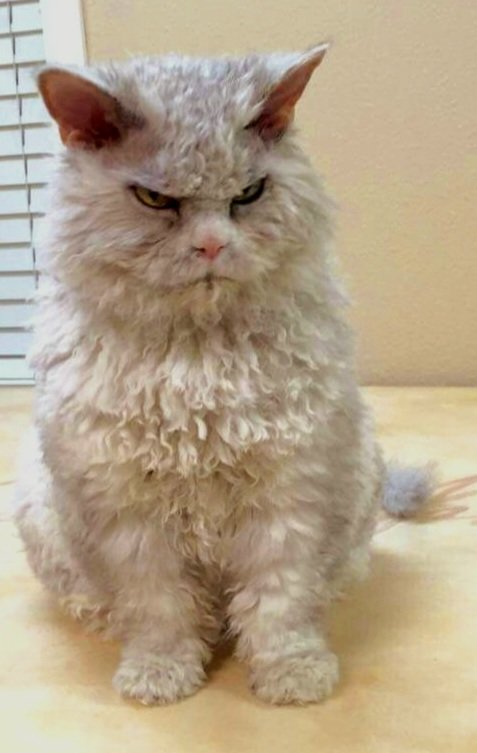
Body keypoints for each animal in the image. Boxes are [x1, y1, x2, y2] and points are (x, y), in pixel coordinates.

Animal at [14, 44, 433, 706]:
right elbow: (158, 610)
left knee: (334, 576)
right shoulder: (129, 518)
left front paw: (292, 675)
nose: (211, 246)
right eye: (155, 199)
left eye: (249, 193)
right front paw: (160, 675)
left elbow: (279, 605)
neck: (199, 355)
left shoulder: (288, 495)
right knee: (107, 603)